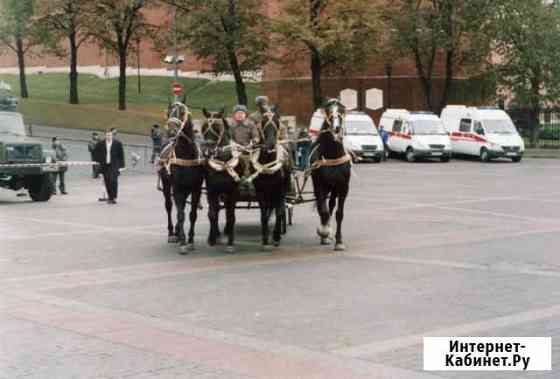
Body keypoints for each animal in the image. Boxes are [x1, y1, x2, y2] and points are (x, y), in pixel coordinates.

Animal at [159, 102, 205, 254]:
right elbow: (180, 214)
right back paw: (172, 234)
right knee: (169, 206)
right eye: (168, 113)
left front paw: (190, 240)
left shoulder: (196, 188)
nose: (171, 132)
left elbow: (192, 214)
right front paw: (183, 241)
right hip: (167, 185)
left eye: (182, 113)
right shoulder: (178, 188)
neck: (186, 154)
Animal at [201, 108, 241, 254]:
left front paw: (230, 243)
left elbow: (231, 216)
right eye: (204, 127)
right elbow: (213, 214)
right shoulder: (212, 190)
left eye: (217, 127)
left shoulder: (233, 192)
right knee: (216, 210)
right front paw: (212, 239)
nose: (207, 149)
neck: (223, 163)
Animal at [253, 106, 290, 249]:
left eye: (277, 122)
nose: (270, 144)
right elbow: (263, 213)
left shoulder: (280, 191)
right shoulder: (260, 191)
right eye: (263, 122)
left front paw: (276, 236)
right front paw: (265, 238)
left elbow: (279, 212)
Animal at [308, 99, 352, 251]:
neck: (332, 155)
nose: (336, 128)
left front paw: (339, 241)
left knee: (331, 205)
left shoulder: (343, 187)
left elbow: (339, 213)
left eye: (341, 111)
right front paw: (324, 231)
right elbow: (323, 211)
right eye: (328, 111)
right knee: (324, 209)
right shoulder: (319, 185)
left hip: (333, 189)